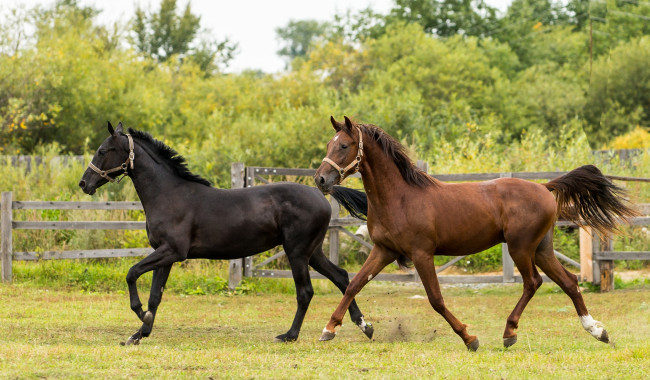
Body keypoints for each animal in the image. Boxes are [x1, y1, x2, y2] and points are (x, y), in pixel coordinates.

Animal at [78, 123, 372, 346]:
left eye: (103, 150)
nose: (84, 183)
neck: (168, 194)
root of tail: (321, 193)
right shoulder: (166, 255)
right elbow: (155, 296)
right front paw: (140, 333)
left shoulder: (172, 251)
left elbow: (132, 274)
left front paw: (140, 317)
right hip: (312, 252)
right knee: (342, 277)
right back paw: (362, 326)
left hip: (297, 252)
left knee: (306, 291)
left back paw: (290, 335)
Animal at [312, 116, 636, 350]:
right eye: (329, 143)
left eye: (344, 146)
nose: (320, 179)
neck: (399, 197)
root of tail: (544, 188)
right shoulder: (384, 250)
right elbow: (353, 285)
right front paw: (335, 329)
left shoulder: (421, 253)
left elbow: (436, 299)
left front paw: (470, 339)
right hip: (541, 249)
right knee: (568, 281)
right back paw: (597, 331)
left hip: (521, 248)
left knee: (533, 282)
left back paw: (509, 333)